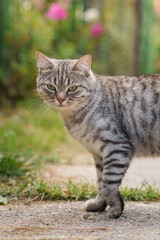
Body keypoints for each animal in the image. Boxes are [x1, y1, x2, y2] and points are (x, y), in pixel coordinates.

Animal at [35, 51, 160, 218]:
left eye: (72, 88)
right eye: (50, 87)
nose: (60, 99)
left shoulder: (116, 147)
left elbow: (108, 183)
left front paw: (115, 208)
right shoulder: (98, 153)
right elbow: (101, 182)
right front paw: (99, 204)